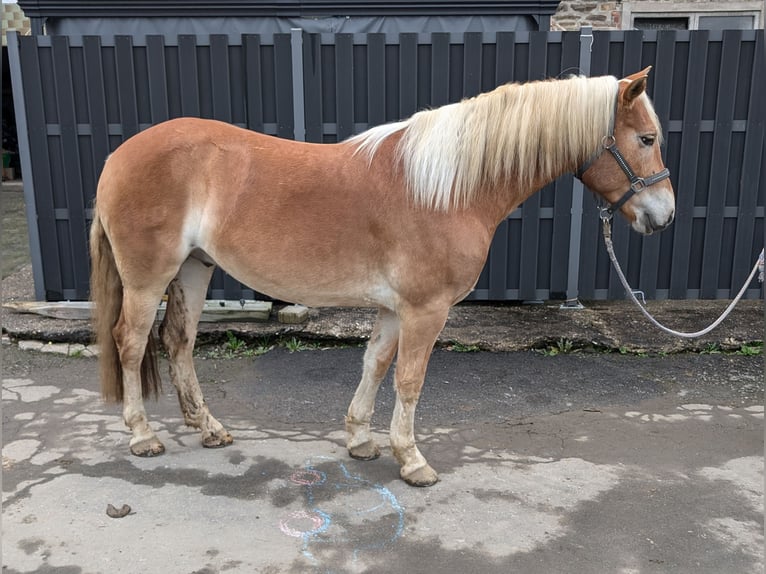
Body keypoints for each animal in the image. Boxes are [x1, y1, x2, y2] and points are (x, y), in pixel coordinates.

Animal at [90, 70, 676, 488]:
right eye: (646, 138)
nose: (664, 215)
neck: (446, 187)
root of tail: (119, 155)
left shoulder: (396, 308)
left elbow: (374, 364)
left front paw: (360, 440)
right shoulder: (426, 309)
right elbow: (409, 380)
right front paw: (412, 460)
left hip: (194, 267)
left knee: (179, 340)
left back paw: (208, 428)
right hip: (148, 278)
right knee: (130, 341)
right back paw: (142, 435)